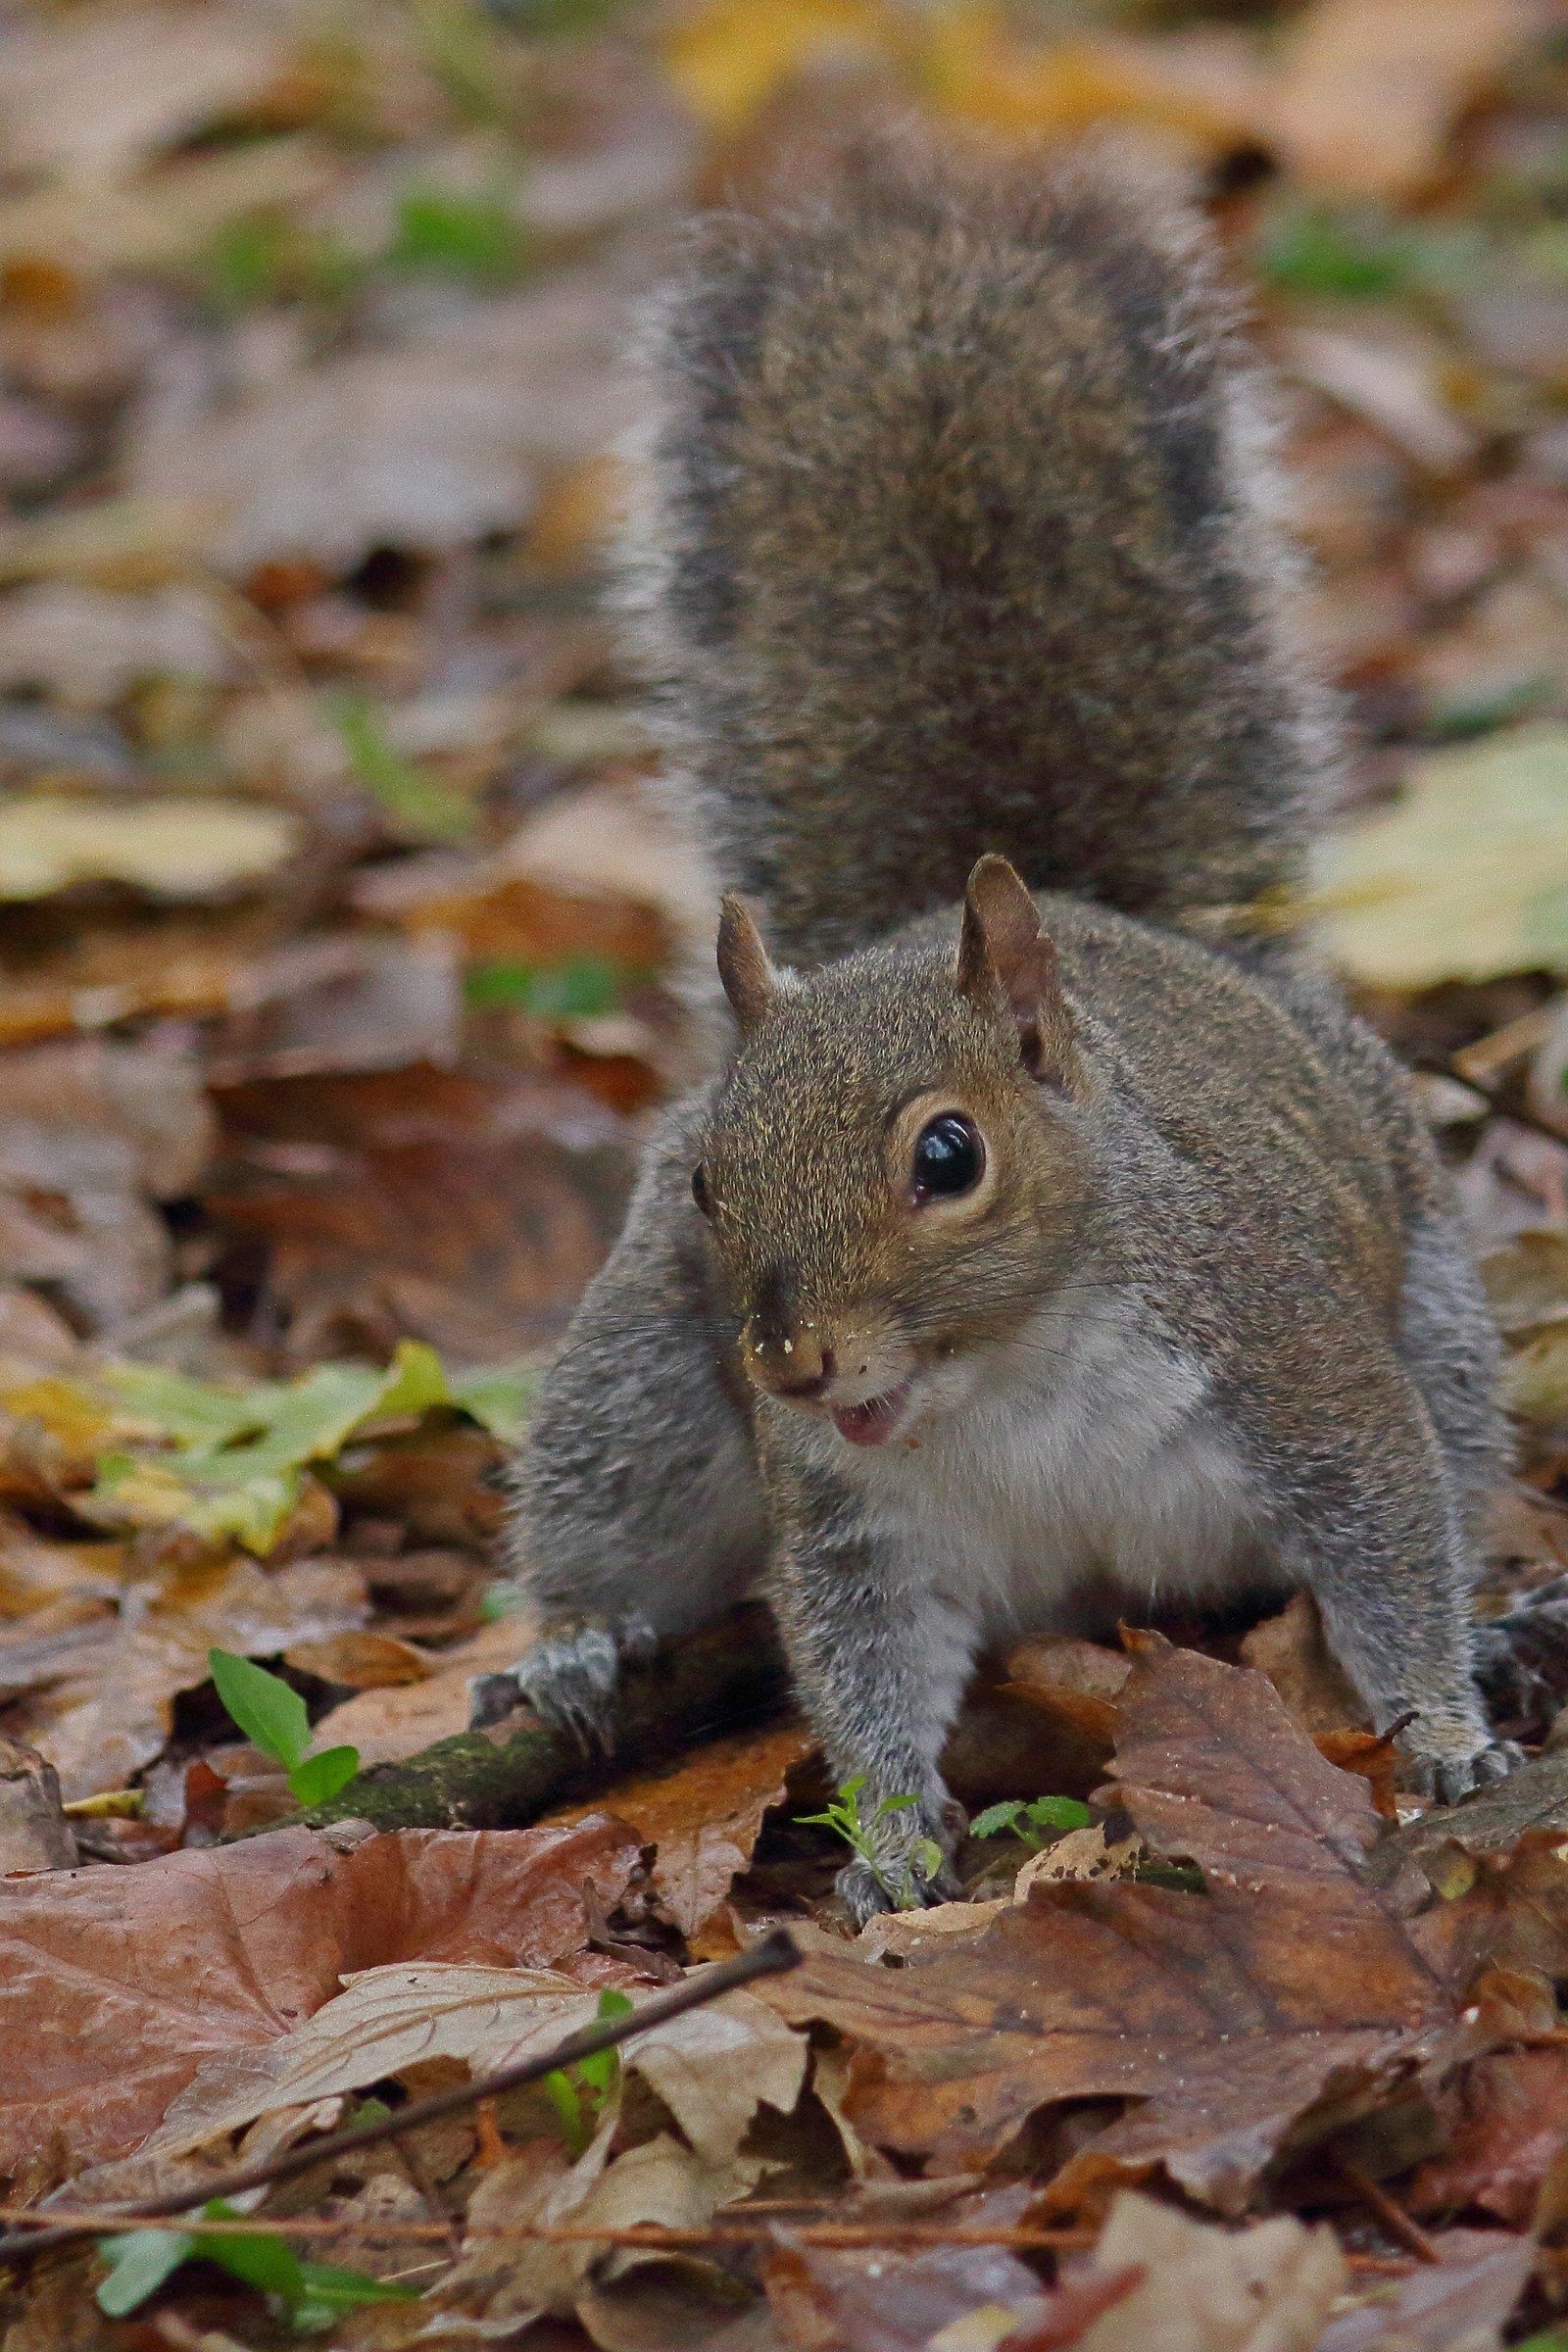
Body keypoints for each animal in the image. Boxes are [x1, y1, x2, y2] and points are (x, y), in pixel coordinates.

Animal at [472, 130, 1518, 1921]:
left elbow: (1394, 1537)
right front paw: (893, 1850)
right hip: (647, 1382)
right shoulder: (853, 1522)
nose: (795, 1359)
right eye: (705, 1181)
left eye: (948, 1159)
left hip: (1437, 1305)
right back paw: (572, 1644)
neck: (1000, 1382)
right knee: (607, 1499)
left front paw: (1445, 1730)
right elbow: (866, 1664)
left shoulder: (1304, 1372)